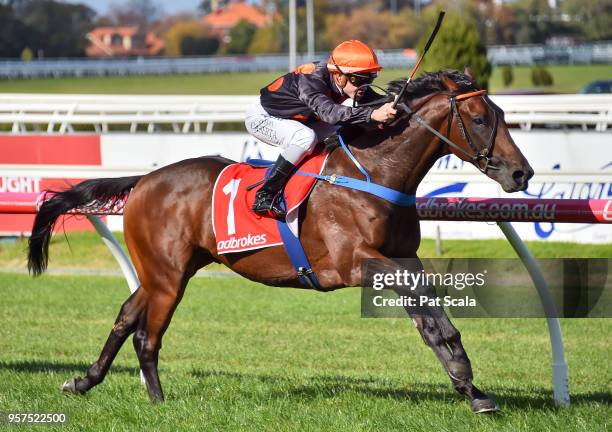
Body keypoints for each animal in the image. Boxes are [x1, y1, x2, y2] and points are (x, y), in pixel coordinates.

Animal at [28, 69, 532, 414]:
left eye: (503, 115)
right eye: (480, 118)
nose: (520, 173)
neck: (375, 172)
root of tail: (145, 180)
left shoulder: (402, 256)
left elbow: (431, 320)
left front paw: (471, 388)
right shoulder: (356, 262)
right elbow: (428, 314)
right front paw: (468, 382)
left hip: (168, 270)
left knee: (125, 317)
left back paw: (84, 382)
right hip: (167, 277)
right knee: (147, 335)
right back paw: (158, 400)